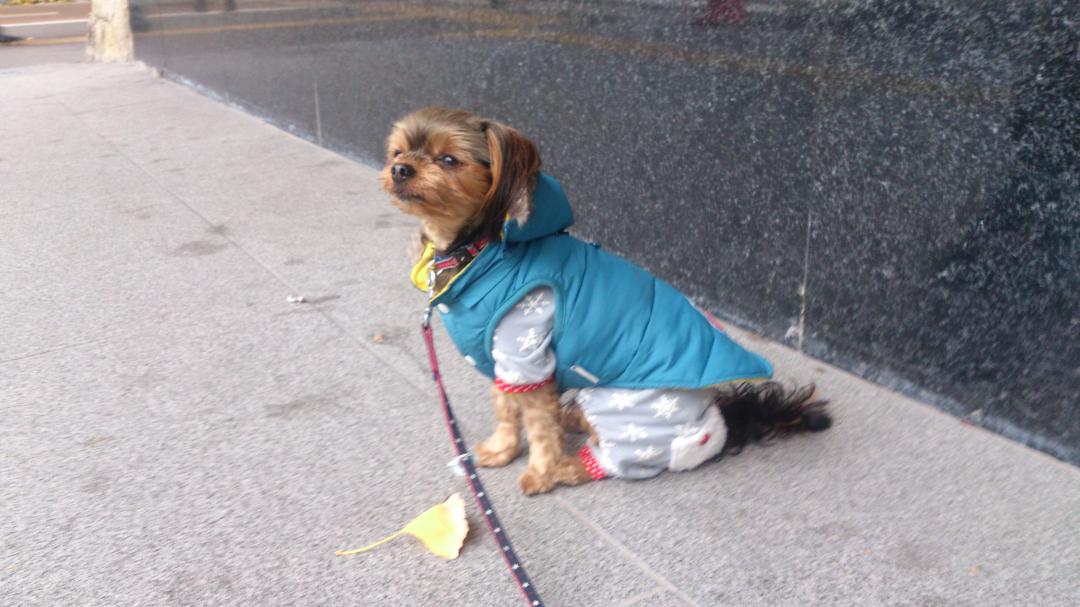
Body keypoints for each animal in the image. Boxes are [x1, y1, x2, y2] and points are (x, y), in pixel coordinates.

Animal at [382, 107, 830, 495]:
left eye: (448, 159)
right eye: (398, 151)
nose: (399, 170)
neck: (477, 250)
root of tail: (719, 416)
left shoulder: (527, 351)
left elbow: (538, 425)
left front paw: (540, 473)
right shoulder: (504, 360)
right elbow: (507, 409)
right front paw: (501, 450)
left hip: (627, 409)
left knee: (617, 459)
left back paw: (567, 465)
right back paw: (573, 418)